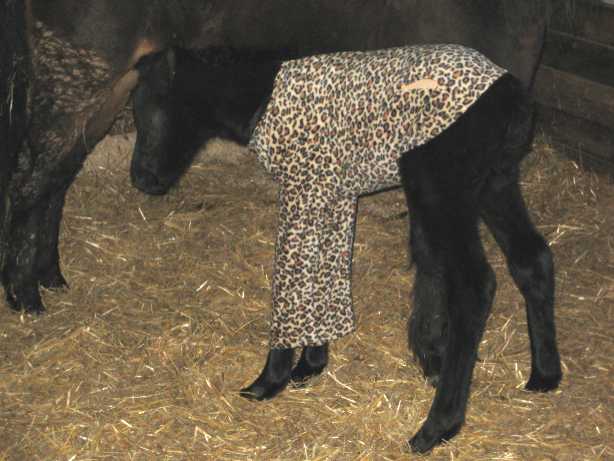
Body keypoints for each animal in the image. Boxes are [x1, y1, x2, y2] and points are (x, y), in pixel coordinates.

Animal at [2, 0, 552, 312]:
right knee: (32, 175)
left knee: (59, 173)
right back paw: (23, 293)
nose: (146, 179)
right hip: (80, 70)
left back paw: (49, 275)